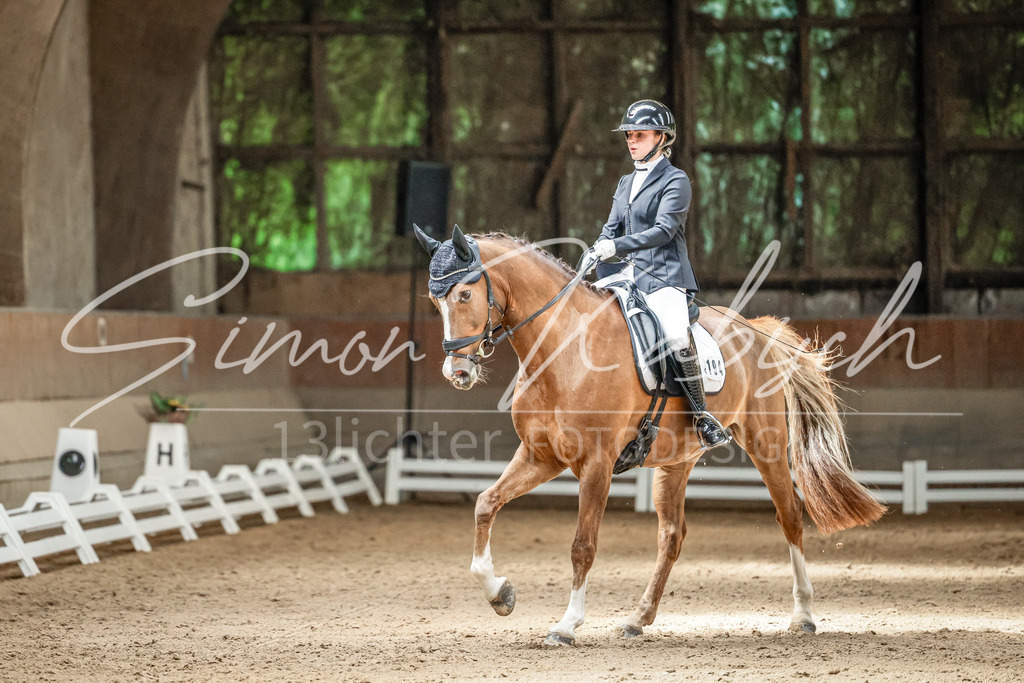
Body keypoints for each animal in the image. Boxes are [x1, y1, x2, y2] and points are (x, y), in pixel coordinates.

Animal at [415, 226, 886, 647]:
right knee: (672, 536)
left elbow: (582, 545)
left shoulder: (597, 465)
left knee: (790, 517)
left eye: (464, 295)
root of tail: (755, 330)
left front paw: (566, 625)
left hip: (766, 444)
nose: (457, 372)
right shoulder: (540, 456)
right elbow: (485, 504)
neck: (563, 347)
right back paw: (637, 618)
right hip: (677, 459)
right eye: (435, 300)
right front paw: (501, 594)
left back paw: (803, 615)